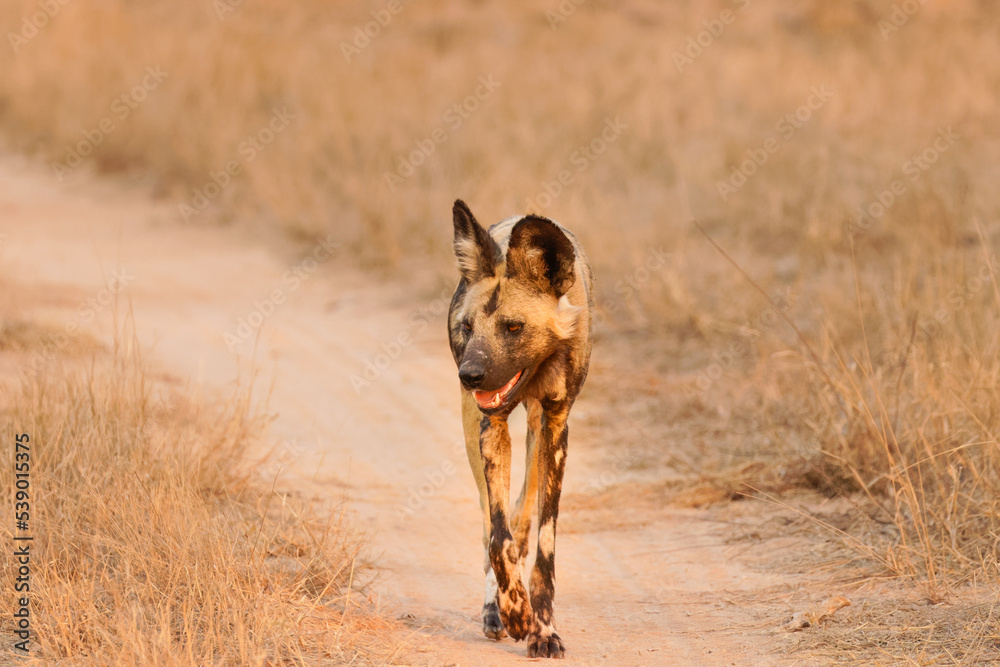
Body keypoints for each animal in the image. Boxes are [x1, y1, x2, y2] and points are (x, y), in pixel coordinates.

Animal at [448, 198, 592, 656]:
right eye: (467, 327)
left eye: (513, 327)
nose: (469, 375)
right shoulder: (489, 424)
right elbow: (498, 537)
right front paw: (513, 610)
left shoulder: (557, 425)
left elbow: (543, 543)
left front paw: (543, 629)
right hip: (475, 429)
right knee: (491, 524)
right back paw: (494, 609)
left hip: (537, 435)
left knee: (525, 514)